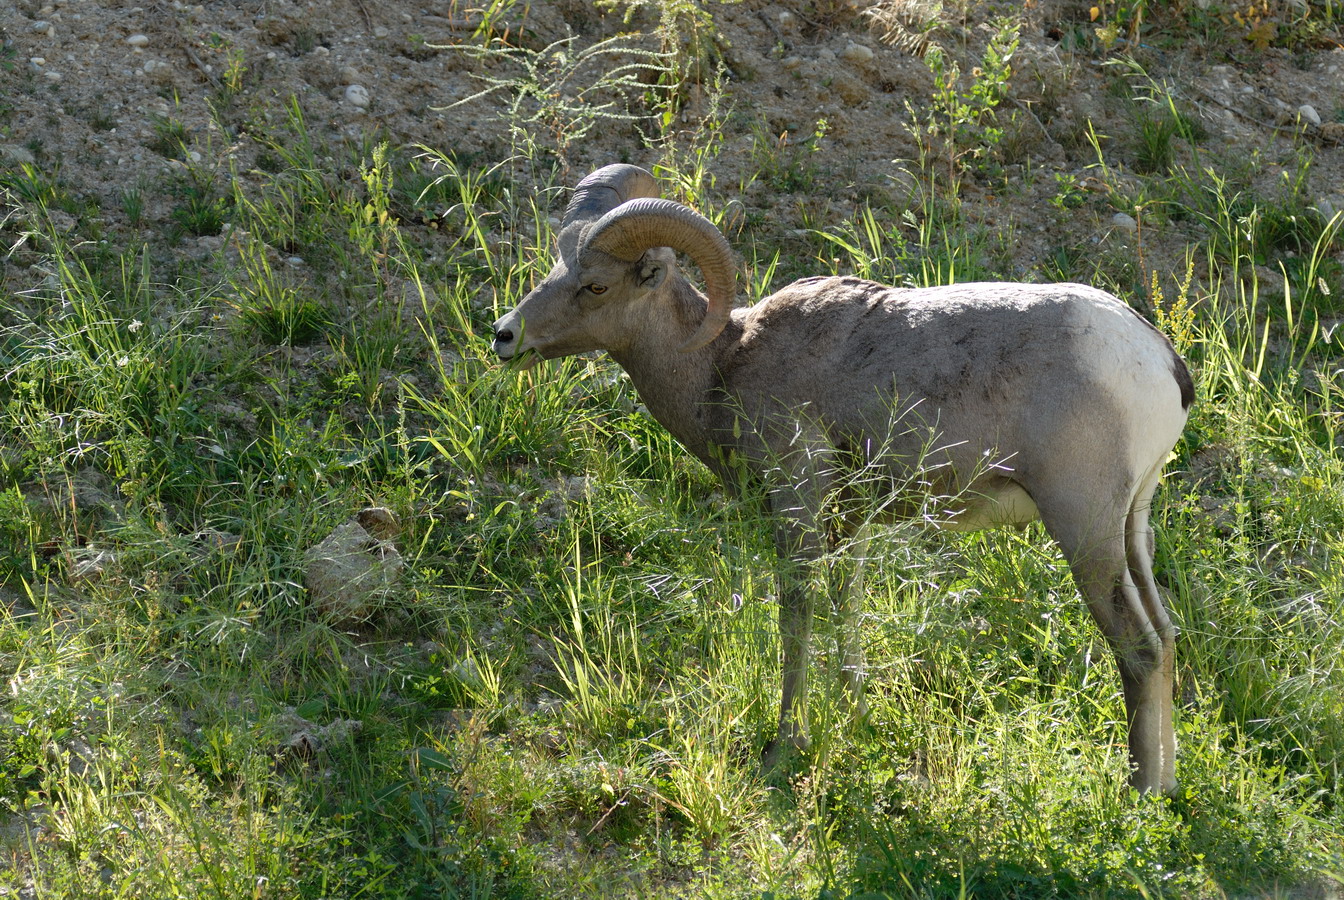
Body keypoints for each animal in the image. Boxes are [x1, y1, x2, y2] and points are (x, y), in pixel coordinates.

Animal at [494, 163, 1198, 795]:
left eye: (594, 286)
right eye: (556, 269)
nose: (504, 336)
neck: (724, 360)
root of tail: (1157, 358)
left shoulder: (797, 506)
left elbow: (798, 619)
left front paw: (785, 748)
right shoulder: (850, 525)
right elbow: (847, 613)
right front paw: (855, 717)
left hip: (1083, 529)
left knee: (1138, 648)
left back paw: (1137, 794)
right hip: (1132, 527)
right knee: (1165, 639)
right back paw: (1166, 786)